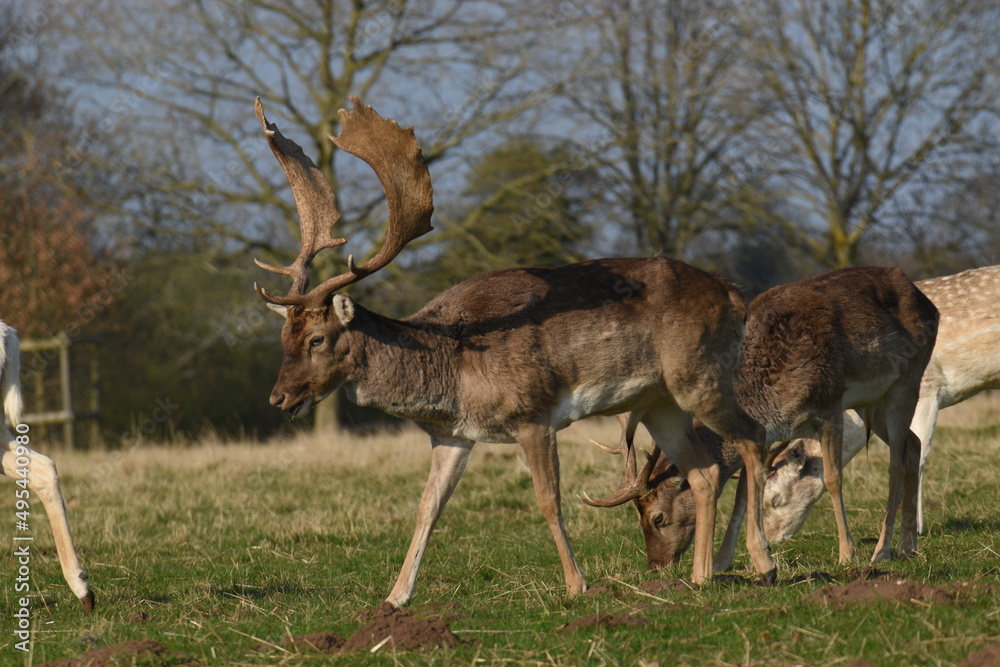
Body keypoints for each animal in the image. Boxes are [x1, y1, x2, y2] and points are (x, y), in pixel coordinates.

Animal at [250, 95, 775, 607]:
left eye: (317, 339)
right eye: (283, 339)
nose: (278, 398)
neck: (452, 374)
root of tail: (735, 295)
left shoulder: (533, 414)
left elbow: (548, 500)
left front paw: (577, 585)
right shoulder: (453, 435)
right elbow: (427, 508)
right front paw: (395, 597)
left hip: (701, 376)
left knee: (753, 438)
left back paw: (761, 562)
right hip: (661, 402)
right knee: (705, 471)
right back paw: (701, 577)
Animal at [585, 267, 939, 571]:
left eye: (657, 517)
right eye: (638, 517)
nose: (655, 565)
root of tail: (926, 300)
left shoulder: (830, 405)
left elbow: (833, 478)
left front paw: (846, 554)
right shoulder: (765, 434)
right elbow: (743, 493)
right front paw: (721, 562)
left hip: (908, 377)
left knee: (896, 460)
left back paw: (882, 550)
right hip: (872, 402)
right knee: (912, 443)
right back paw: (908, 545)